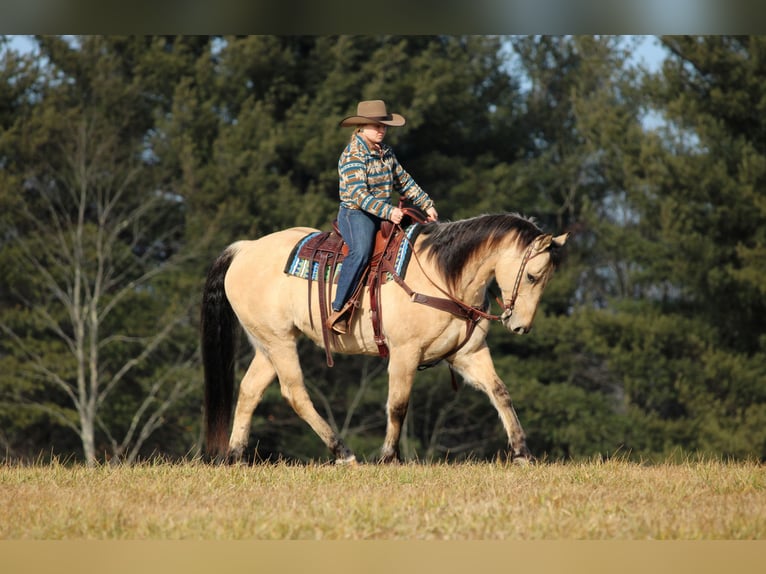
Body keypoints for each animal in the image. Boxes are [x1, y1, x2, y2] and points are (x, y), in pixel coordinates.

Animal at [201, 212, 568, 464]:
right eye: (532, 276)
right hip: (280, 343)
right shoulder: (405, 353)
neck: (442, 276)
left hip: (269, 345)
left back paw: (235, 456)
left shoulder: (469, 353)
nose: (520, 326)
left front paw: (522, 451)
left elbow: (500, 392)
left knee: (250, 391)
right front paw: (389, 456)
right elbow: (398, 404)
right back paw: (343, 452)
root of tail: (245, 249)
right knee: (296, 394)